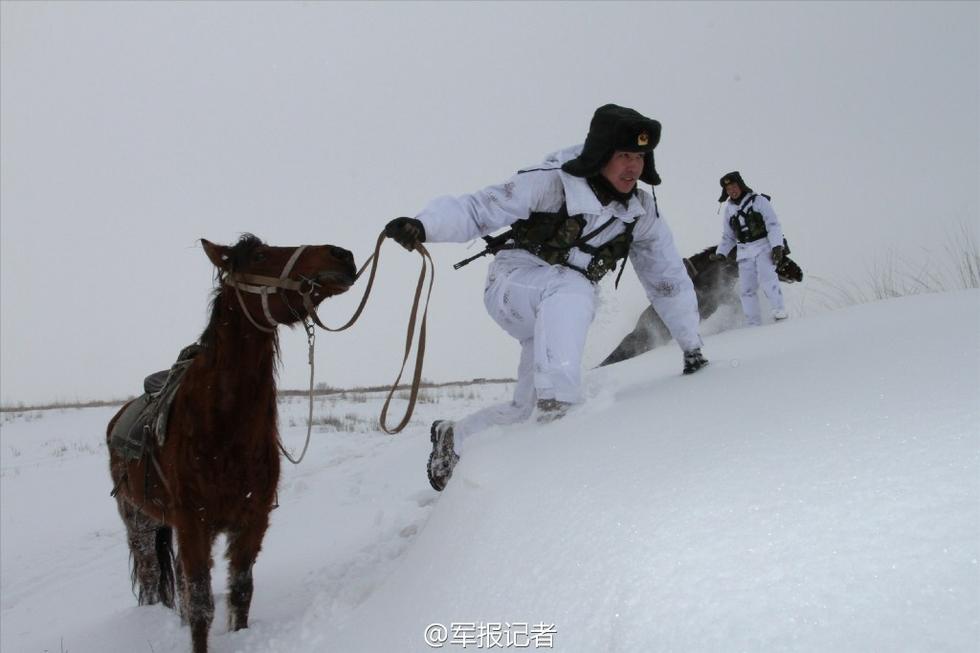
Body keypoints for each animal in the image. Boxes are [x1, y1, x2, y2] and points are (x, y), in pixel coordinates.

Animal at [107, 236, 356, 652]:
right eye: (259, 256)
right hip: (139, 521)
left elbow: (240, 591)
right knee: (150, 573)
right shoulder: (194, 523)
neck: (223, 431)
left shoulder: (252, 520)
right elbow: (201, 603)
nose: (342, 255)